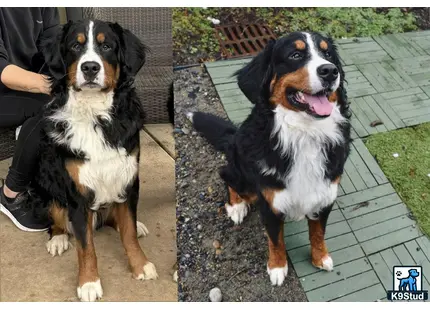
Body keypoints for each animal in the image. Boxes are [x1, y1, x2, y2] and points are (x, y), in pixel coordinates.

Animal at [29, 18, 160, 300]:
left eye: (107, 46)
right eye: (75, 46)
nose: (90, 67)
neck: (95, 114)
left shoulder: (127, 178)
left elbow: (129, 233)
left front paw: (140, 265)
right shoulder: (77, 192)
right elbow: (85, 246)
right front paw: (89, 283)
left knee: (118, 219)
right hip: (45, 183)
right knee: (57, 219)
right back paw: (58, 239)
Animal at [190, 30, 352, 286]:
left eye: (328, 54)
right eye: (295, 55)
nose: (330, 71)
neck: (305, 134)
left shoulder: (325, 196)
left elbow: (318, 232)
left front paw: (320, 257)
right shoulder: (270, 204)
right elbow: (276, 241)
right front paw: (277, 267)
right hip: (242, 175)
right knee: (226, 177)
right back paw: (236, 207)